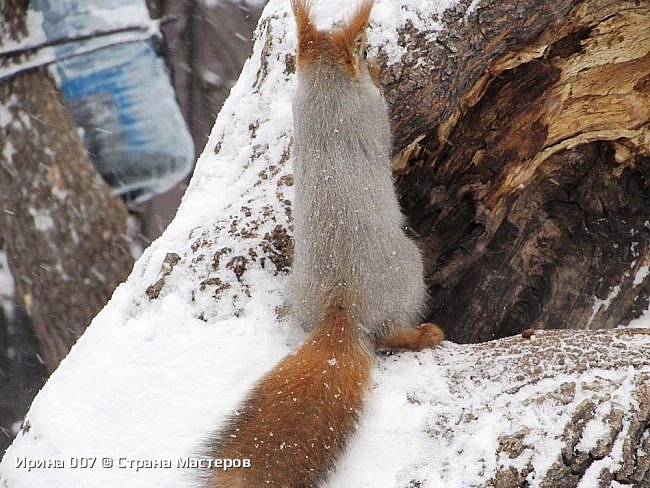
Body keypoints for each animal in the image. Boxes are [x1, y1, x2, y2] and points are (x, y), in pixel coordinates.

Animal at [202, 1, 442, 486]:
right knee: (392, 335)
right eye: (363, 47)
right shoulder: (373, 112)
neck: (327, 93)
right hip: (410, 270)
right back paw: (424, 334)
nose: (376, 65)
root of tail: (341, 307)